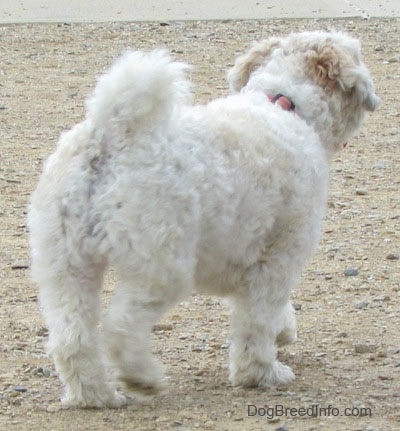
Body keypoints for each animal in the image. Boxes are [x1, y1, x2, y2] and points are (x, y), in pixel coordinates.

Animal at [28, 31, 378, 408]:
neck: (284, 104)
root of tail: (115, 131)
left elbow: (269, 312)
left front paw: (283, 332)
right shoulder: (279, 257)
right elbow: (257, 320)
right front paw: (260, 373)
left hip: (65, 267)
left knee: (72, 340)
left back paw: (94, 396)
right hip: (163, 268)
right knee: (121, 326)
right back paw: (142, 377)